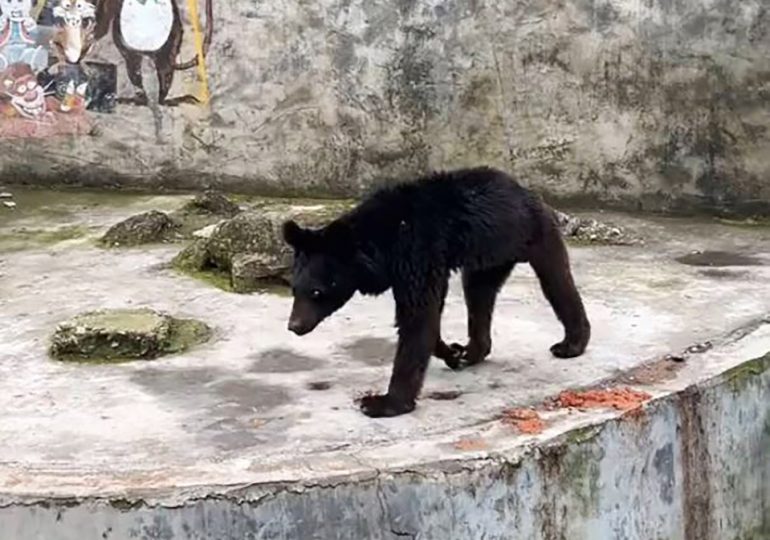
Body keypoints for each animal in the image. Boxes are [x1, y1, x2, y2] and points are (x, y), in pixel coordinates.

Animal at [280, 167, 588, 420]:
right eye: (295, 289)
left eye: (317, 292)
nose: (294, 326)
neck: (380, 246)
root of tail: (525, 190)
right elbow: (427, 316)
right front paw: (451, 351)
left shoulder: (416, 254)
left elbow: (417, 320)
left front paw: (382, 402)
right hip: (486, 258)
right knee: (479, 294)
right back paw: (472, 351)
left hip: (531, 234)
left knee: (556, 281)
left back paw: (571, 343)